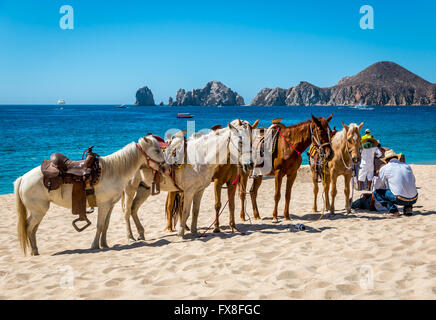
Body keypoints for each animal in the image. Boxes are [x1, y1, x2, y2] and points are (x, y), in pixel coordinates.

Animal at [14, 135, 169, 255]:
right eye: (156, 150)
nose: (166, 168)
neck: (113, 171)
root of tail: (23, 178)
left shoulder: (110, 205)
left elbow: (106, 225)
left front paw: (104, 244)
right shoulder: (104, 205)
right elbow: (100, 225)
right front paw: (95, 245)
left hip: (38, 212)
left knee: (33, 229)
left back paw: (35, 250)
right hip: (38, 211)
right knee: (29, 227)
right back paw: (34, 251)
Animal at [121, 119, 258, 239]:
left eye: (252, 141)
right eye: (240, 142)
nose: (250, 164)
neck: (201, 157)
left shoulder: (199, 190)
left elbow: (195, 211)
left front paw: (194, 232)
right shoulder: (189, 191)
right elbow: (186, 211)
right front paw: (181, 233)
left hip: (144, 188)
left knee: (133, 209)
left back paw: (141, 233)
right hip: (130, 189)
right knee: (127, 211)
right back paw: (130, 236)